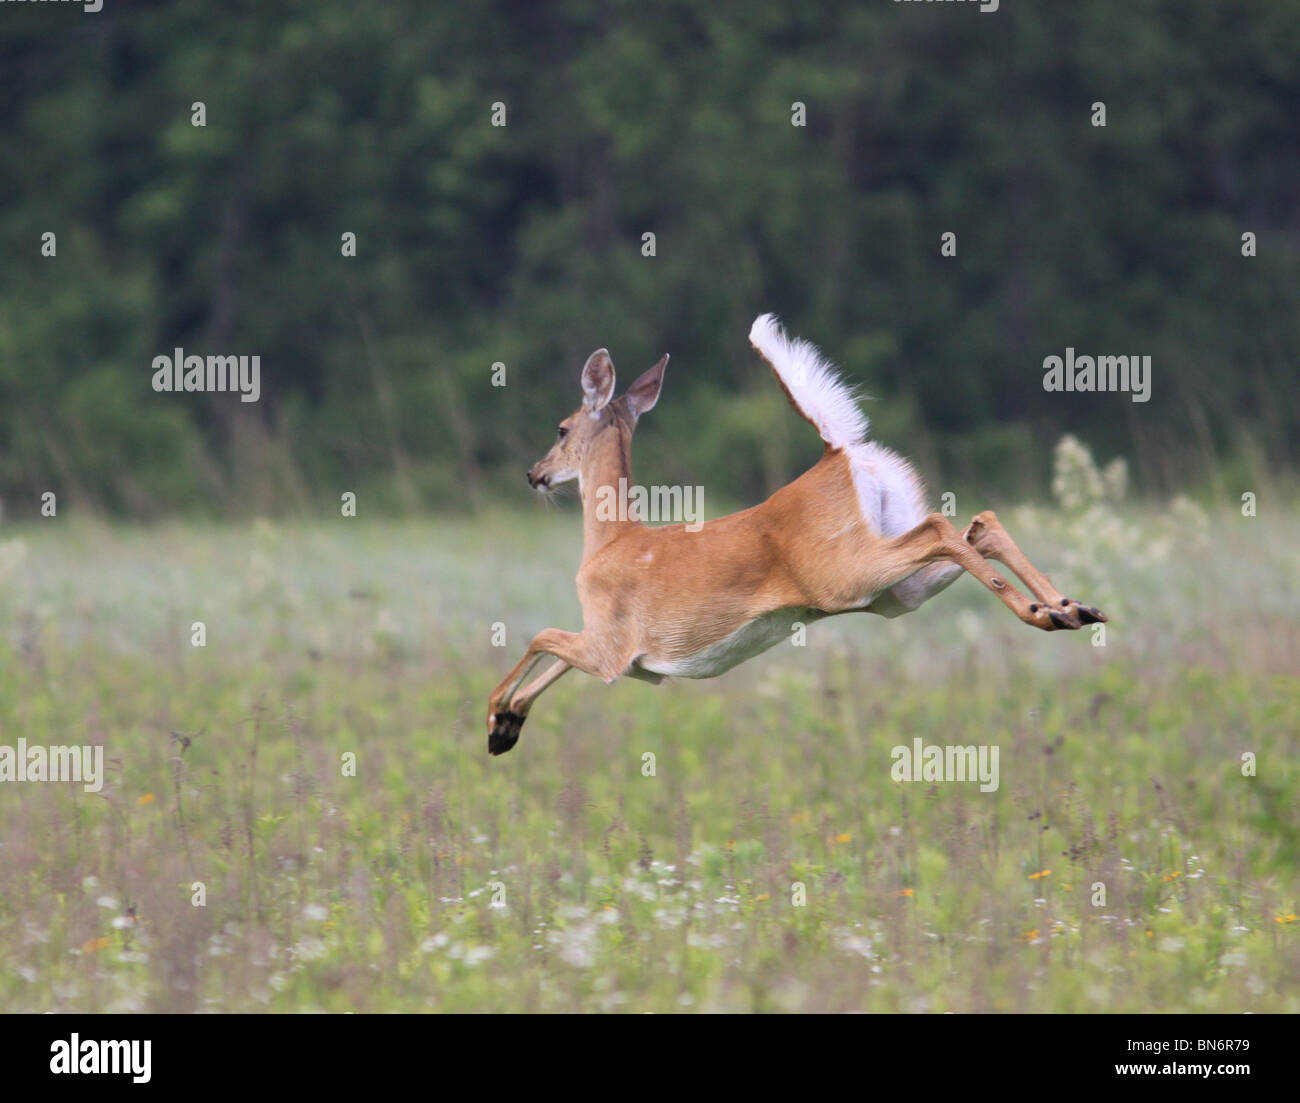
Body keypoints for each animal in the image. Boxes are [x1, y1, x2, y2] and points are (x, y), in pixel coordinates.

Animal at [487, 314, 1106, 755]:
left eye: (561, 428)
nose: (534, 474)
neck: (612, 541)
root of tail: (839, 453)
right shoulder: (613, 649)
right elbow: (554, 652)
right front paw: (511, 723)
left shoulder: (614, 647)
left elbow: (542, 635)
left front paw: (496, 720)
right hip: (891, 591)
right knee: (980, 525)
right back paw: (1070, 609)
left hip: (845, 572)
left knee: (942, 527)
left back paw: (1046, 614)